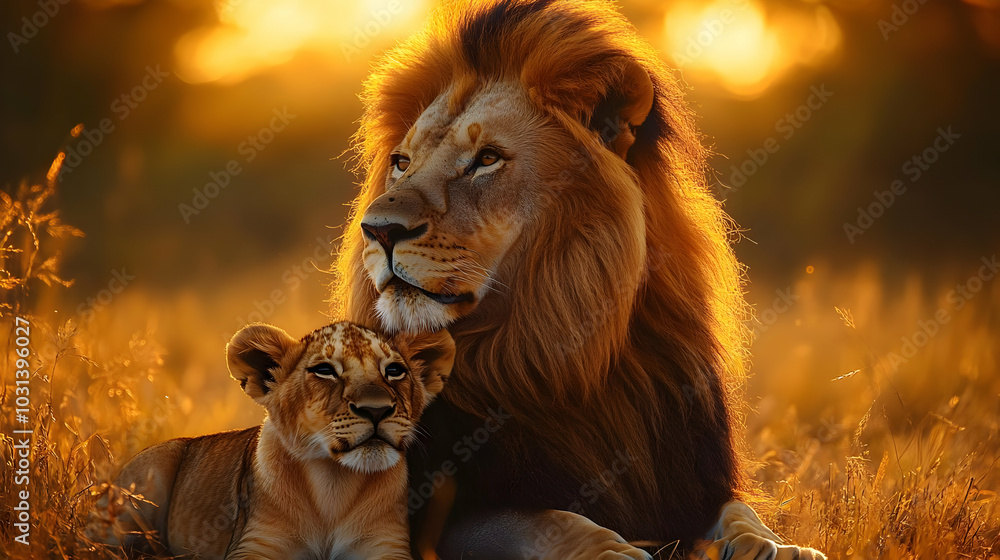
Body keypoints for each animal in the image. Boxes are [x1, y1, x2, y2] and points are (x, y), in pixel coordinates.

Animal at [100, 322, 454, 559]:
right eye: (324, 370)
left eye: (395, 370)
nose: (376, 409)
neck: (334, 484)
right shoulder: (254, 545)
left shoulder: (387, 546)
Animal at [332, 0, 826, 558]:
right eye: (401, 163)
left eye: (487, 159)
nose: (378, 229)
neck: (559, 355)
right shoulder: (439, 513)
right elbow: (547, 519)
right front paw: (616, 551)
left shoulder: (692, 481)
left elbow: (742, 515)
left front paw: (776, 547)